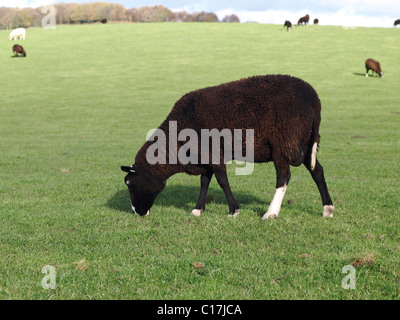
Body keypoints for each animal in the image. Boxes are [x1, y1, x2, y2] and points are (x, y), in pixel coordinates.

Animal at [119, 75, 334, 220]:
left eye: (129, 184)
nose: (136, 213)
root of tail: (315, 100)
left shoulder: (213, 153)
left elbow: (222, 180)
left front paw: (234, 210)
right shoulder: (204, 155)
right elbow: (205, 181)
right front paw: (198, 209)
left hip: (283, 143)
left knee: (283, 176)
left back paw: (271, 213)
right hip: (304, 143)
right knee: (317, 171)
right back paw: (328, 209)